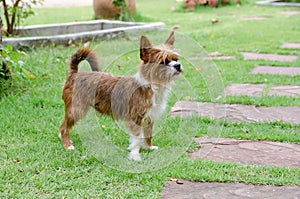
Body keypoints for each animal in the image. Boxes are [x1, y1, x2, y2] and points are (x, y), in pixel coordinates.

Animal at [59, 31, 183, 162]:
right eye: (163, 62)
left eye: (176, 59)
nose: (178, 65)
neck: (152, 86)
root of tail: (74, 74)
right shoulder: (135, 118)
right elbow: (136, 138)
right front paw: (135, 155)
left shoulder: (149, 118)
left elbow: (148, 135)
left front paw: (149, 147)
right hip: (76, 110)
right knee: (63, 127)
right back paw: (67, 145)